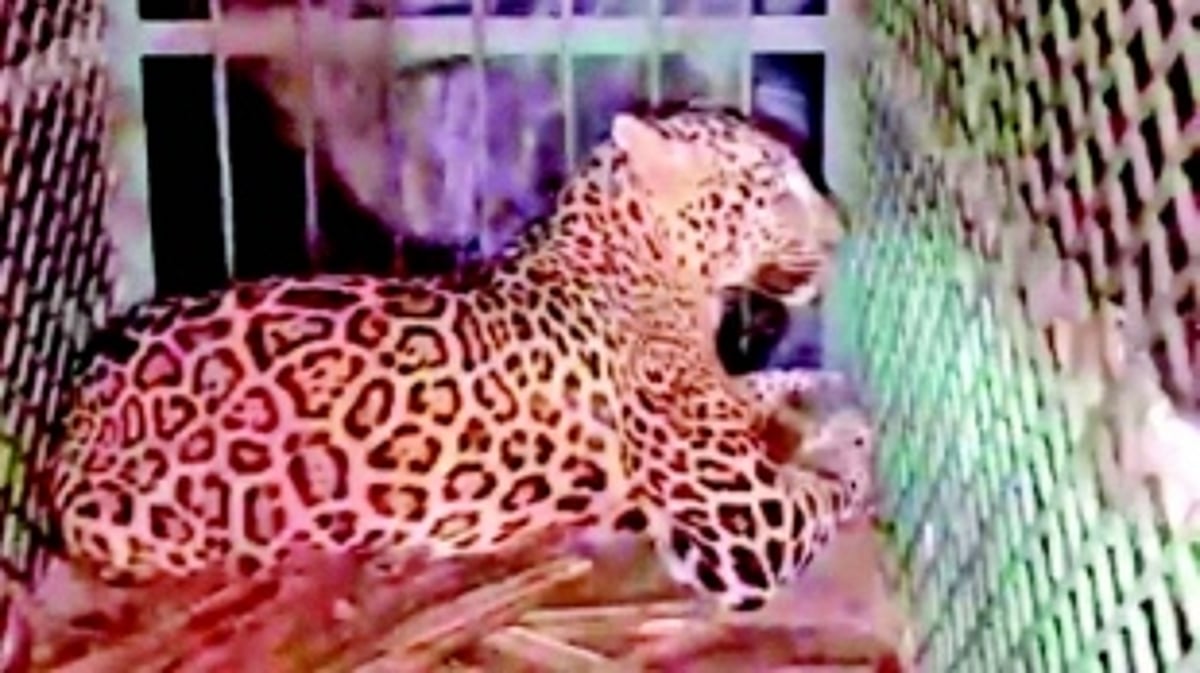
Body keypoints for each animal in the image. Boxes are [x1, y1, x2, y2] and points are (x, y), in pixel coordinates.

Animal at [45, 102, 869, 613]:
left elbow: (768, 384)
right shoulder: (743, 526)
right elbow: (832, 490)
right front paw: (853, 438)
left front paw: (822, 397)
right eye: (772, 190)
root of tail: (72, 410)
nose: (840, 232)